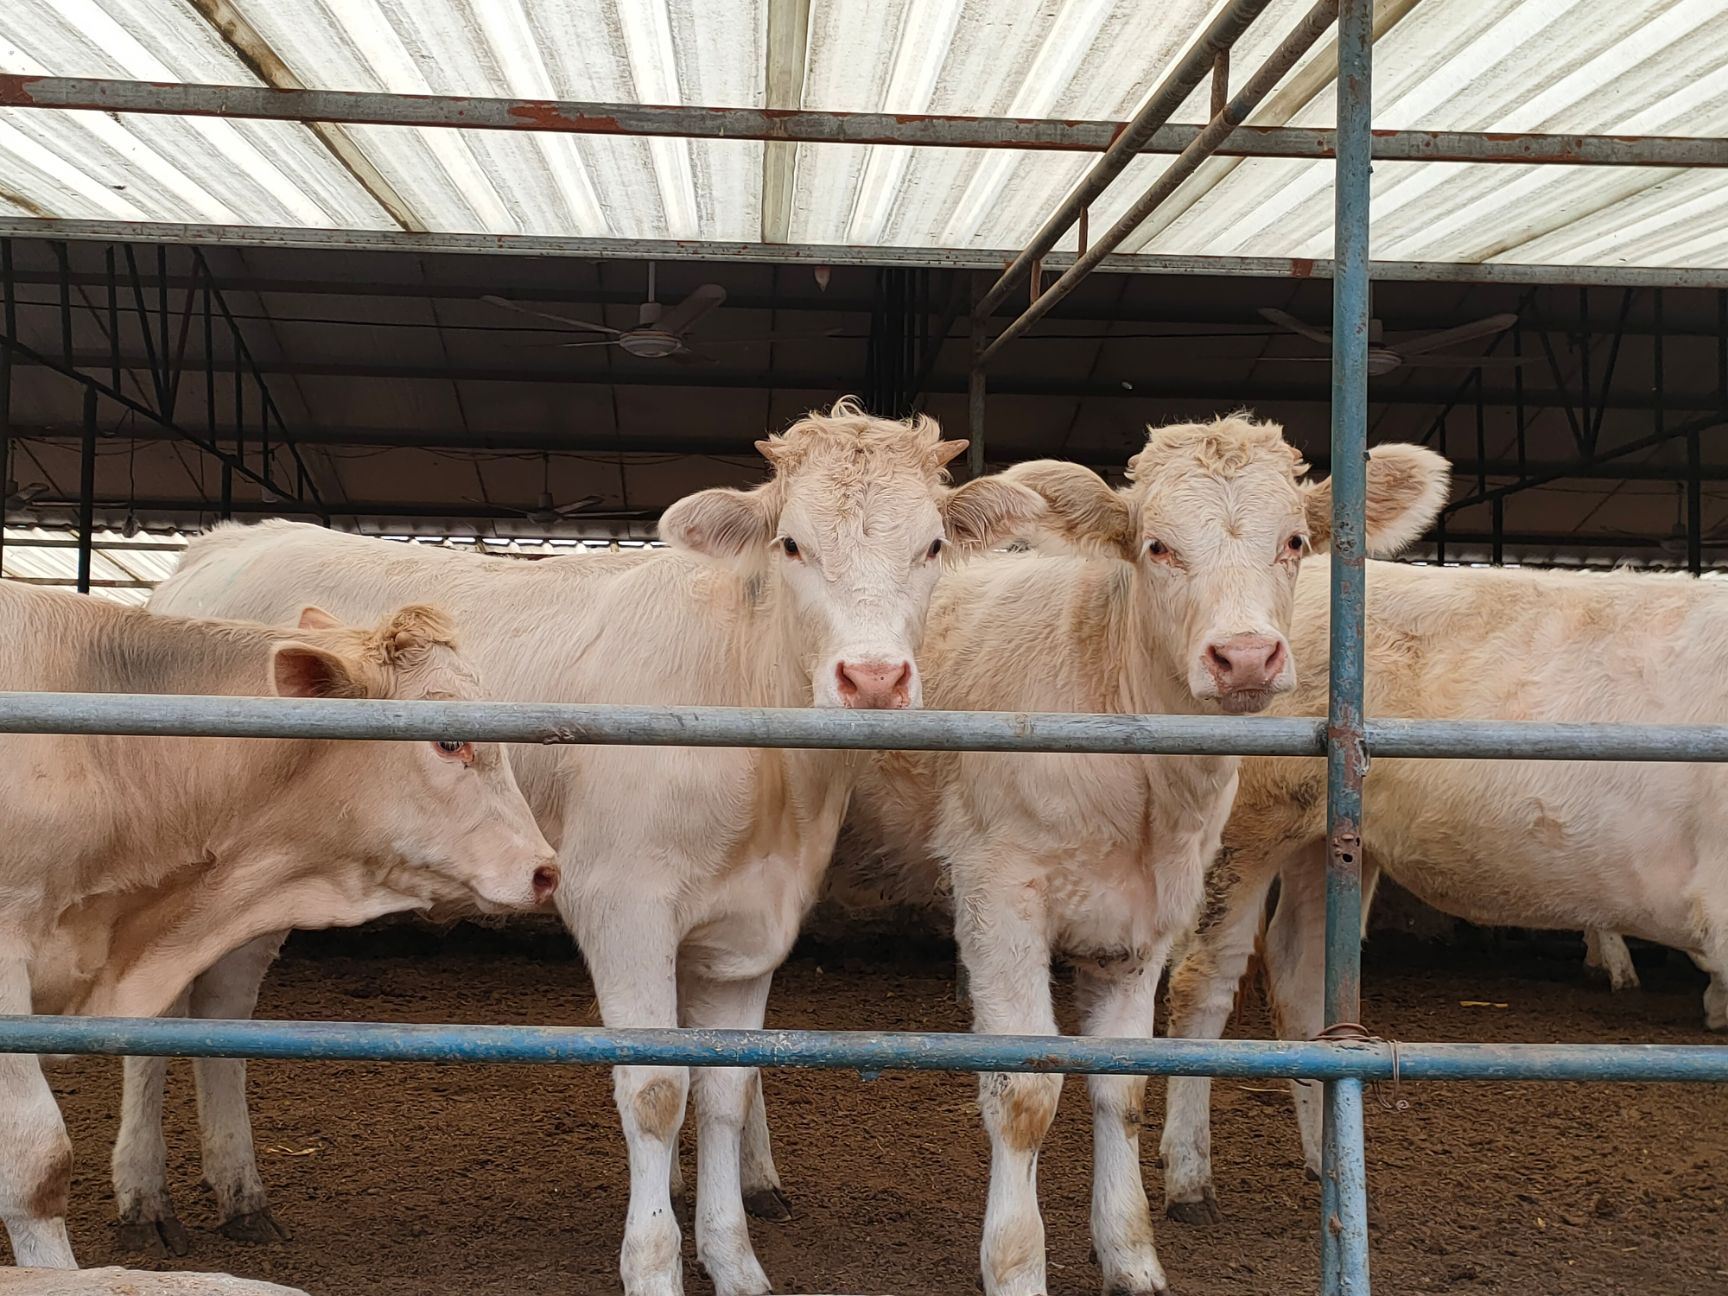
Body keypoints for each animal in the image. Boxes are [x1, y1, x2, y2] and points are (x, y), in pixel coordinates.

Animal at [121, 406, 1043, 1296]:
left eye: (932, 546)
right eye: (792, 545)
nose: (874, 678)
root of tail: (231, 543)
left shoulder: (752, 924)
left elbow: (725, 1089)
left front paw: (736, 1263)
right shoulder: (620, 898)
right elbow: (656, 1090)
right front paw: (654, 1267)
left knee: (222, 1002)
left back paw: (241, 1195)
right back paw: (144, 1200)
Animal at [843, 418, 1451, 1296]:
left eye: (1295, 541)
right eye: (1159, 546)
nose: (1245, 656)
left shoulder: (1143, 917)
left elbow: (1123, 1082)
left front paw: (1130, 1257)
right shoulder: (999, 894)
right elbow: (1025, 1090)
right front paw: (1016, 1265)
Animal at [1161, 559, 1728, 1230]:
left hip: (1330, 840)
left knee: (1300, 976)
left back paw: (1330, 1166)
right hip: (1244, 823)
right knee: (1204, 978)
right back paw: (1189, 1182)